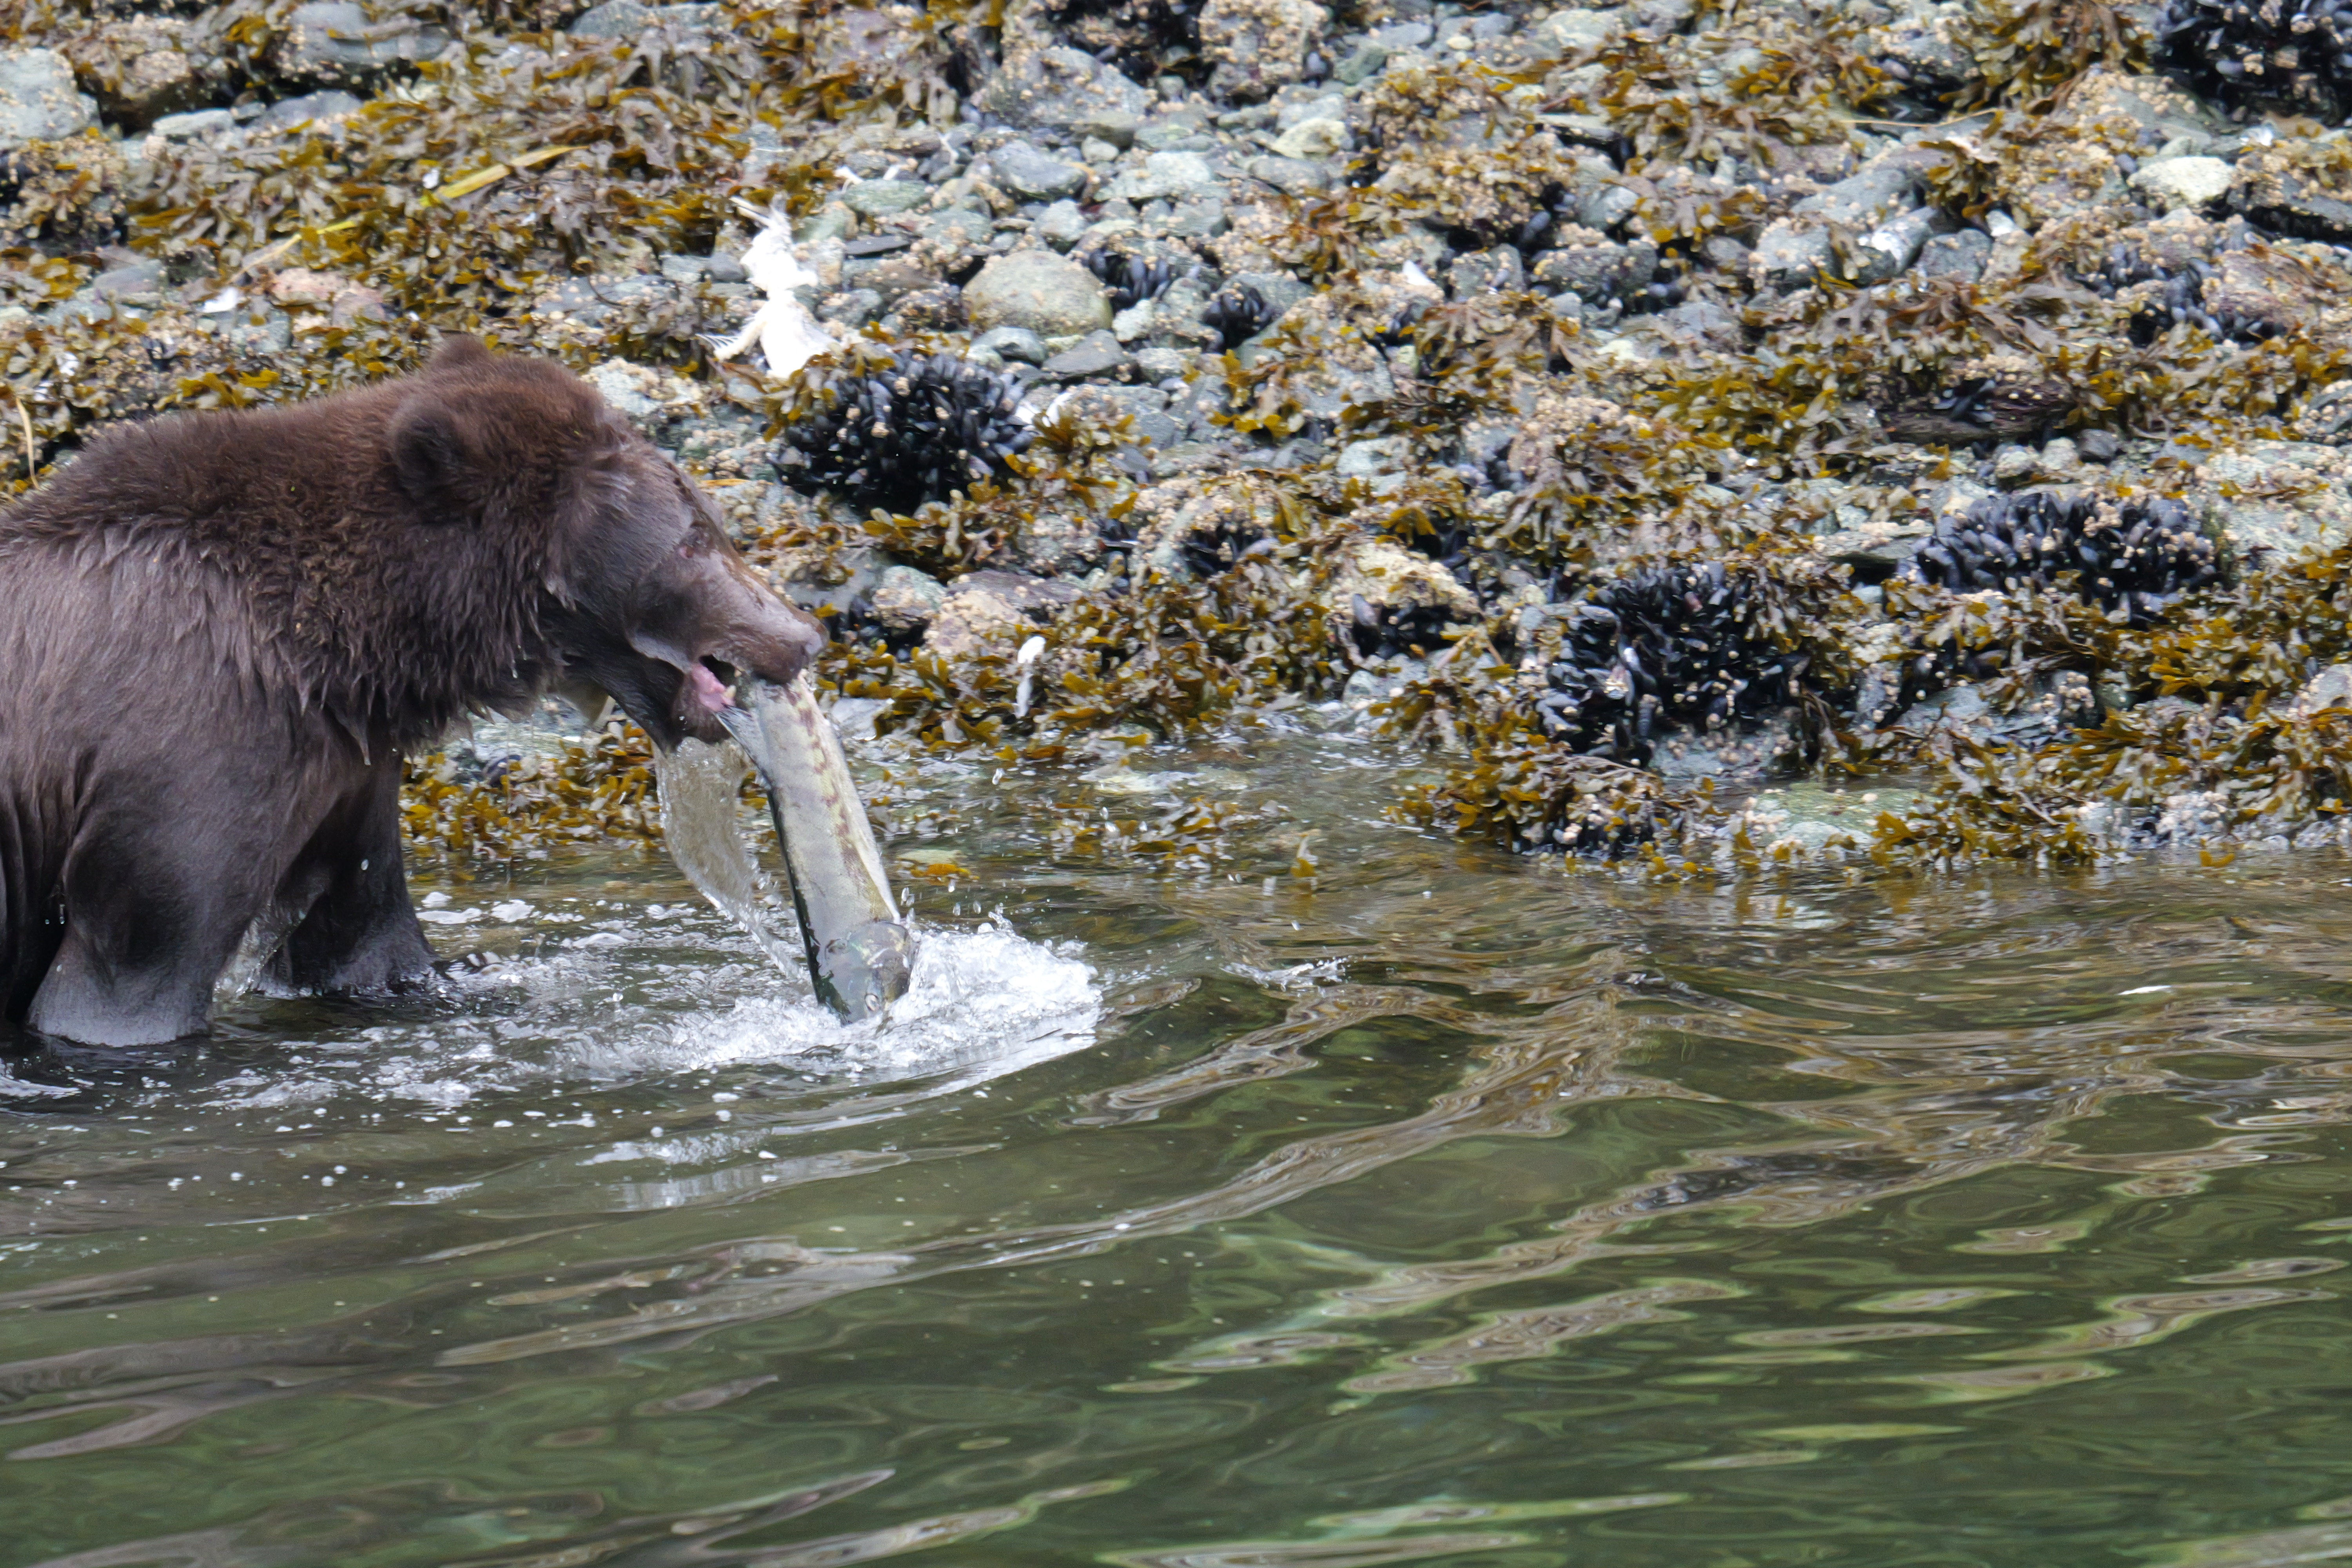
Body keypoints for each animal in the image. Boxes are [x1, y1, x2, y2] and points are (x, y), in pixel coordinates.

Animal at [0, 336, 825, 1048]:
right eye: (691, 541)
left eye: (709, 522)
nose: (802, 636)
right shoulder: (190, 746)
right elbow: (131, 972)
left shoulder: (343, 767)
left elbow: (362, 932)